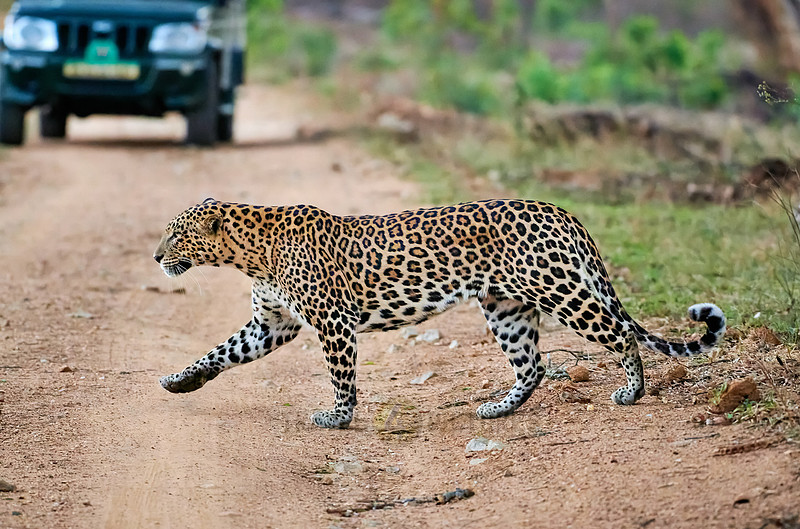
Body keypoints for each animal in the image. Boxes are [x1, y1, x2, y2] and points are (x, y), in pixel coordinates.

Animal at [154, 198, 726, 429]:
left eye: (176, 235)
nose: (157, 257)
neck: (250, 253)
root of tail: (560, 211)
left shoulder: (332, 322)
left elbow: (342, 377)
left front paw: (338, 417)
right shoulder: (272, 324)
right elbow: (221, 352)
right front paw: (180, 382)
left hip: (561, 291)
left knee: (620, 333)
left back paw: (633, 391)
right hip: (506, 308)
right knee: (533, 365)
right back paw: (499, 409)